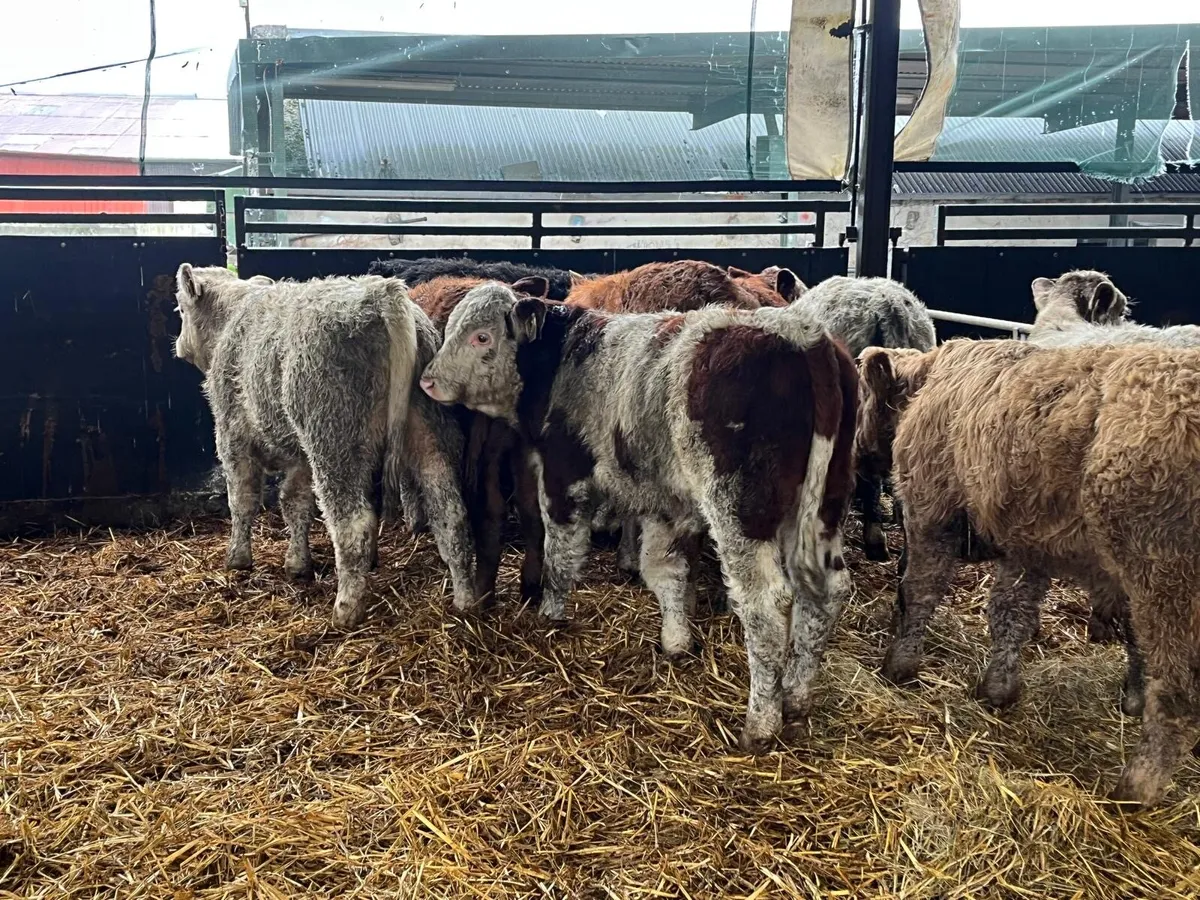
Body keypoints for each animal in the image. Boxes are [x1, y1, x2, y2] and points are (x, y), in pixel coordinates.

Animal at [173, 265, 477, 628]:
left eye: (180, 309)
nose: (178, 345)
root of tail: (382, 294)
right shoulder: (301, 458)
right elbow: (295, 503)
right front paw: (297, 563)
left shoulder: (233, 436)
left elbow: (243, 501)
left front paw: (238, 559)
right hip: (430, 434)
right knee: (451, 514)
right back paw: (466, 599)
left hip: (333, 442)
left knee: (353, 525)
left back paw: (346, 609)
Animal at [419, 282, 858, 752]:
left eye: (481, 336)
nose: (427, 380)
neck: (564, 361)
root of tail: (802, 335)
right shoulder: (665, 501)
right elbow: (664, 570)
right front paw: (676, 641)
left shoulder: (563, 476)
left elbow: (560, 557)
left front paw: (549, 617)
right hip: (824, 506)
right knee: (826, 592)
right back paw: (796, 696)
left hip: (739, 509)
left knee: (766, 605)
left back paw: (760, 723)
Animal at [860, 338, 1200, 807]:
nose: (857, 449)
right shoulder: (1026, 542)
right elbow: (1011, 613)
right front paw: (998, 688)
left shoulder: (931, 514)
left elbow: (919, 591)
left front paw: (899, 665)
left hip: (1167, 583)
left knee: (1178, 691)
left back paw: (1136, 787)